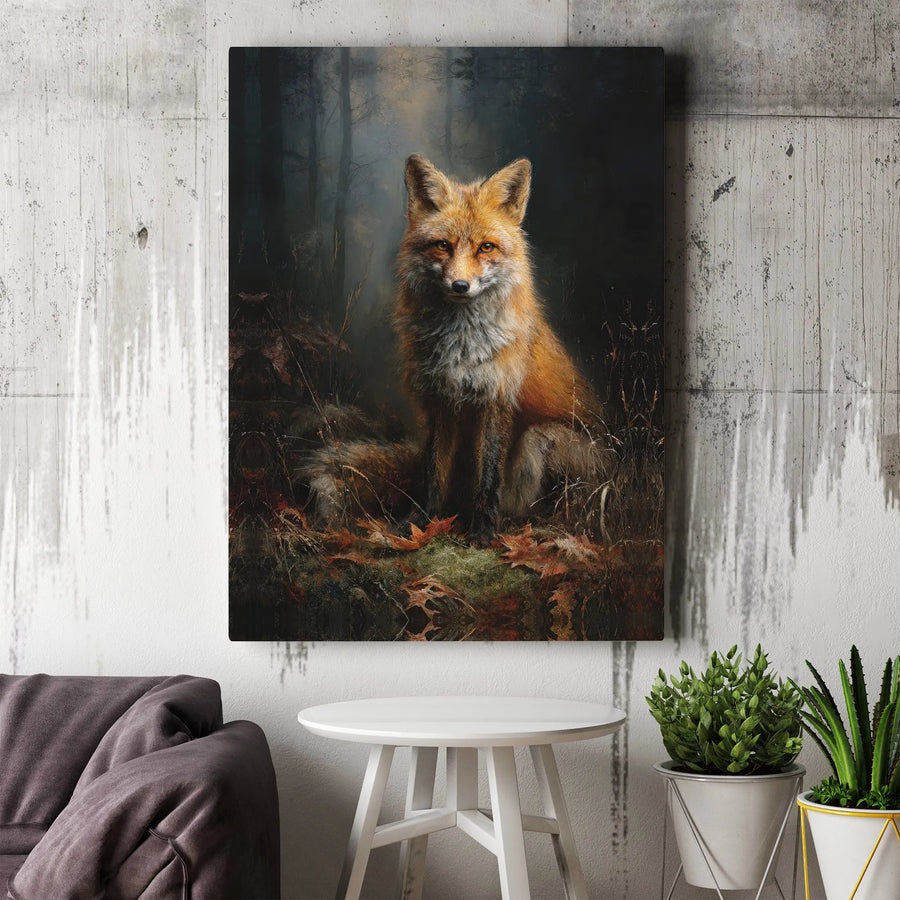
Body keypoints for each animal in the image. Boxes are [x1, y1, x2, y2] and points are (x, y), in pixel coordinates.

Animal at [393, 154, 609, 544]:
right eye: (442, 245)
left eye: (486, 247)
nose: (460, 285)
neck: (461, 346)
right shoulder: (440, 400)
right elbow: (433, 472)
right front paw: (420, 522)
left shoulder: (497, 400)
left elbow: (488, 479)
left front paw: (482, 532)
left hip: (541, 440)